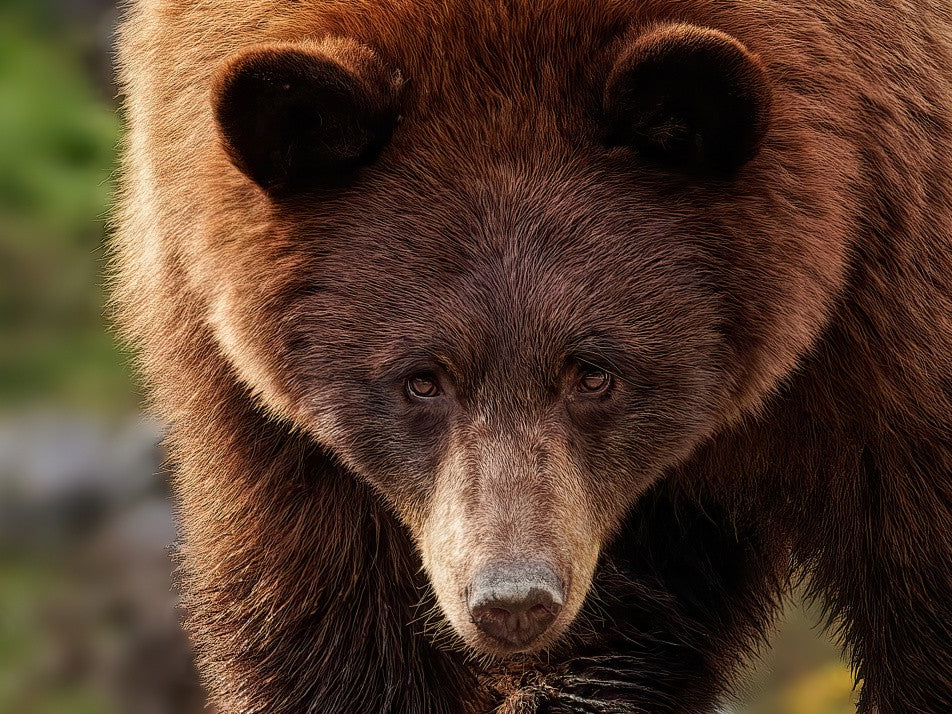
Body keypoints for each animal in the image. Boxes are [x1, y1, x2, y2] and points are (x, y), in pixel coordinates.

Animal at [112, 1, 952, 712]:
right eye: (421, 380)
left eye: (594, 373)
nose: (512, 600)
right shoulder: (247, 388)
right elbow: (323, 619)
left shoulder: (889, 320)